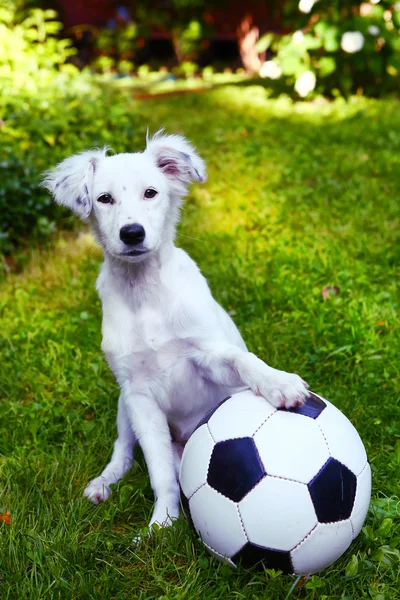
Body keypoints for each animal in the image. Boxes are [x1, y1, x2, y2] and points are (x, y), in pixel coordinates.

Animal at [42, 131, 308, 528]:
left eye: (151, 192)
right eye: (104, 198)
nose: (132, 233)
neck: (144, 292)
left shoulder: (207, 356)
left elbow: (241, 359)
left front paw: (279, 383)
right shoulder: (138, 395)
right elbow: (160, 472)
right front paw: (162, 524)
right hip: (123, 404)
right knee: (125, 450)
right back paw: (104, 482)